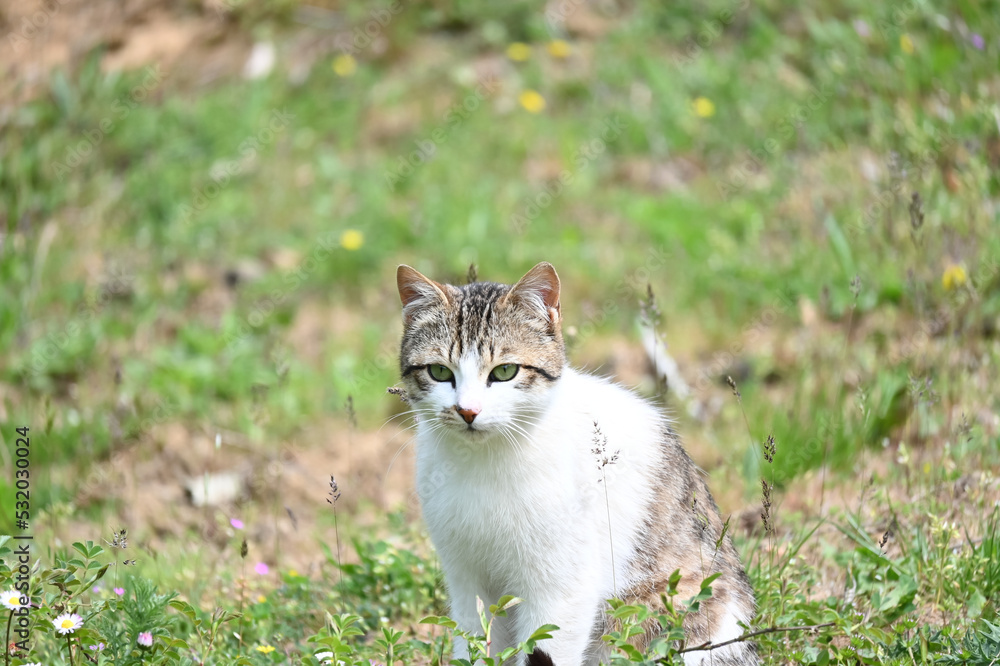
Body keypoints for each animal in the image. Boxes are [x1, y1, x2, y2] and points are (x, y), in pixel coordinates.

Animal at [394, 262, 752, 660]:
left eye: (504, 372)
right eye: (440, 372)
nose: (468, 411)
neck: (484, 461)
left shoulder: (563, 589)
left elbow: (548, 645)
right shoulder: (466, 580)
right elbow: (476, 643)